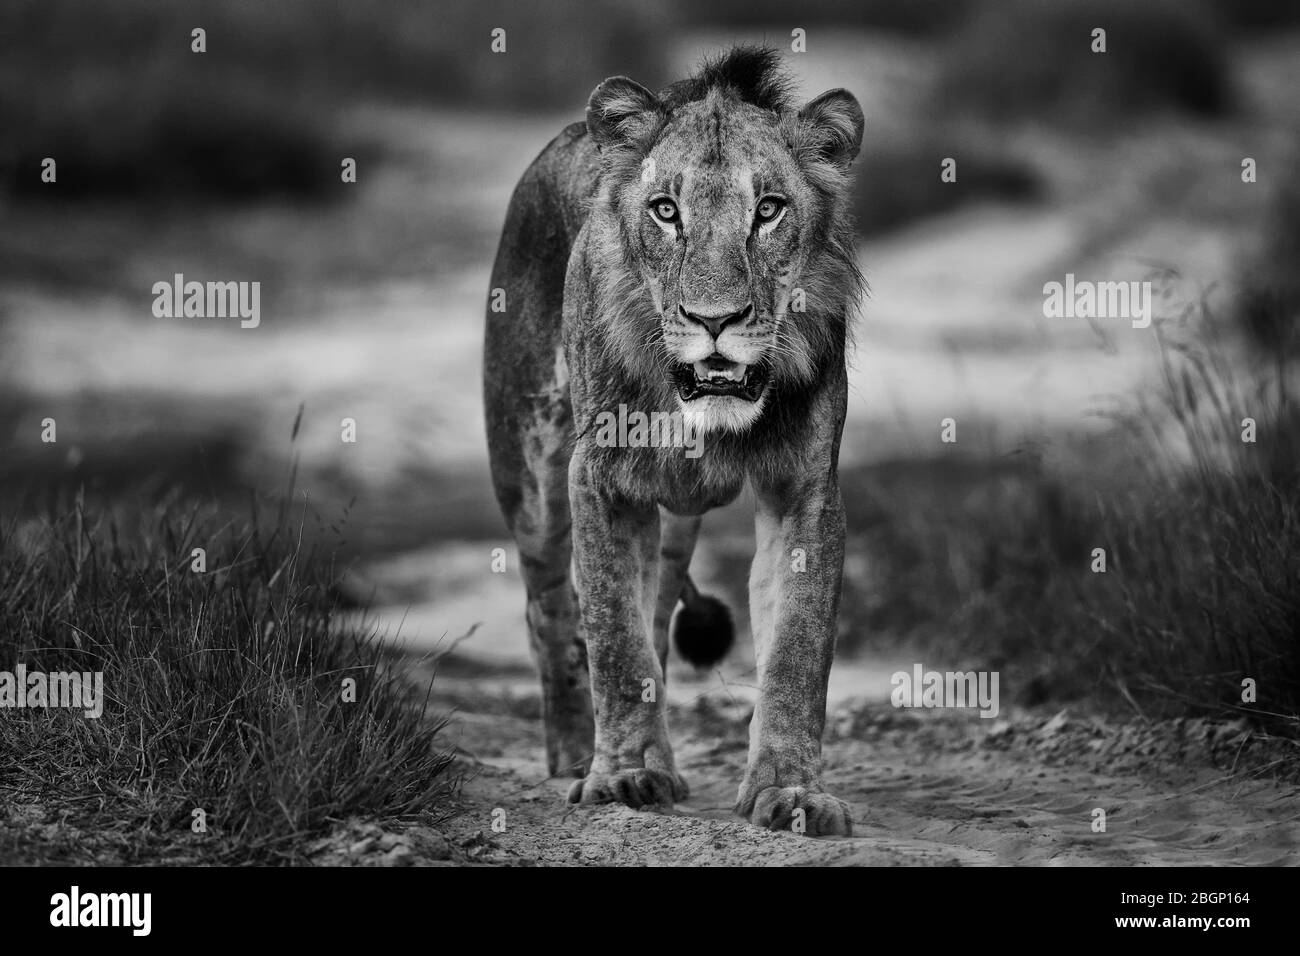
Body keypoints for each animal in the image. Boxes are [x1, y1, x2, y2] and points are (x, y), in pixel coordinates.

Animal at [483, 46, 863, 836]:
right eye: (666, 211)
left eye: (768, 210)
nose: (715, 319)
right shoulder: (597, 479)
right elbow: (613, 640)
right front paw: (624, 777)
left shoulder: (806, 491)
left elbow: (797, 652)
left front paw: (791, 792)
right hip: (530, 480)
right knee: (549, 612)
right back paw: (574, 753)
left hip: (671, 520)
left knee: (656, 613)